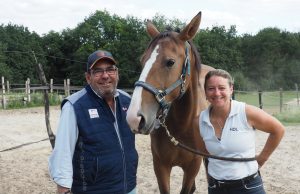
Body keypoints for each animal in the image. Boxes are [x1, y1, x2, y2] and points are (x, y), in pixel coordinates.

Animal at [125, 12, 214, 194]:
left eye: (170, 62)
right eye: (142, 61)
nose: (134, 117)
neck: (182, 125)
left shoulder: (192, 168)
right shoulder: (160, 166)